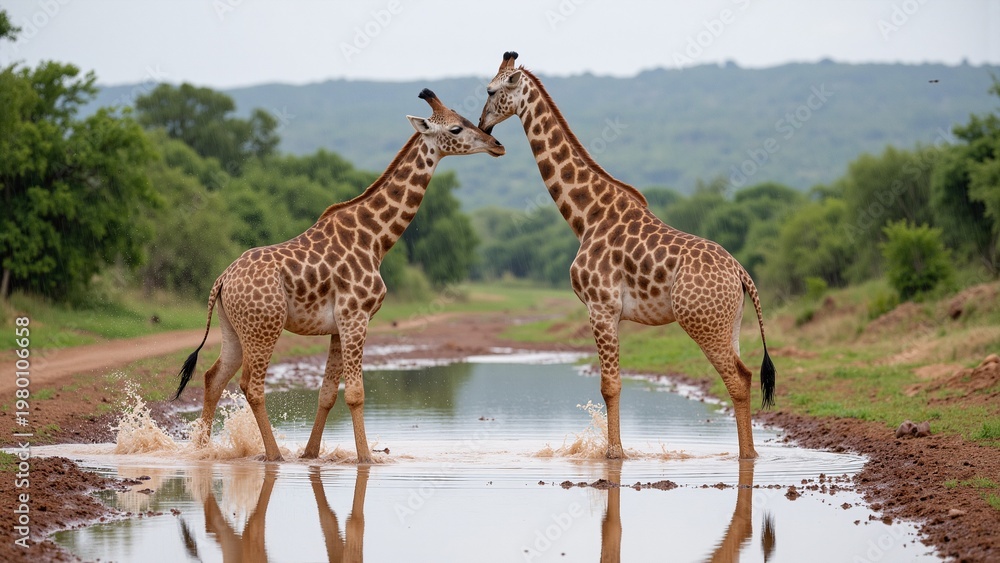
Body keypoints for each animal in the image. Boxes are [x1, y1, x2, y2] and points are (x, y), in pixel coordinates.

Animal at [174, 89, 504, 463]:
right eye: (455, 129)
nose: (496, 144)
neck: (376, 239)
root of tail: (222, 280)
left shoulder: (337, 325)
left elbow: (328, 392)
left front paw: (310, 455)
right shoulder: (356, 316)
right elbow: (356, 393)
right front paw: (366, 459)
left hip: (234, 327)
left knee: (213, 377)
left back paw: (202, 450)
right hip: (264, 327)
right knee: (251, 385)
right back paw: (274, 456)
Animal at [478, 52, 775, 459]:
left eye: (491, 90)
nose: (483, 126)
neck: (586, 217)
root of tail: (741, 273)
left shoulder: (599, 306)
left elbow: (609, 385)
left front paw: (614, 454)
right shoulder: (613, 313)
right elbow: (614, 382)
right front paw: (615, 451)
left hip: (703, 322)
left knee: (736, 379)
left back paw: (746, 456)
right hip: (730, 322)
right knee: (744, 374)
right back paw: (751, 455)